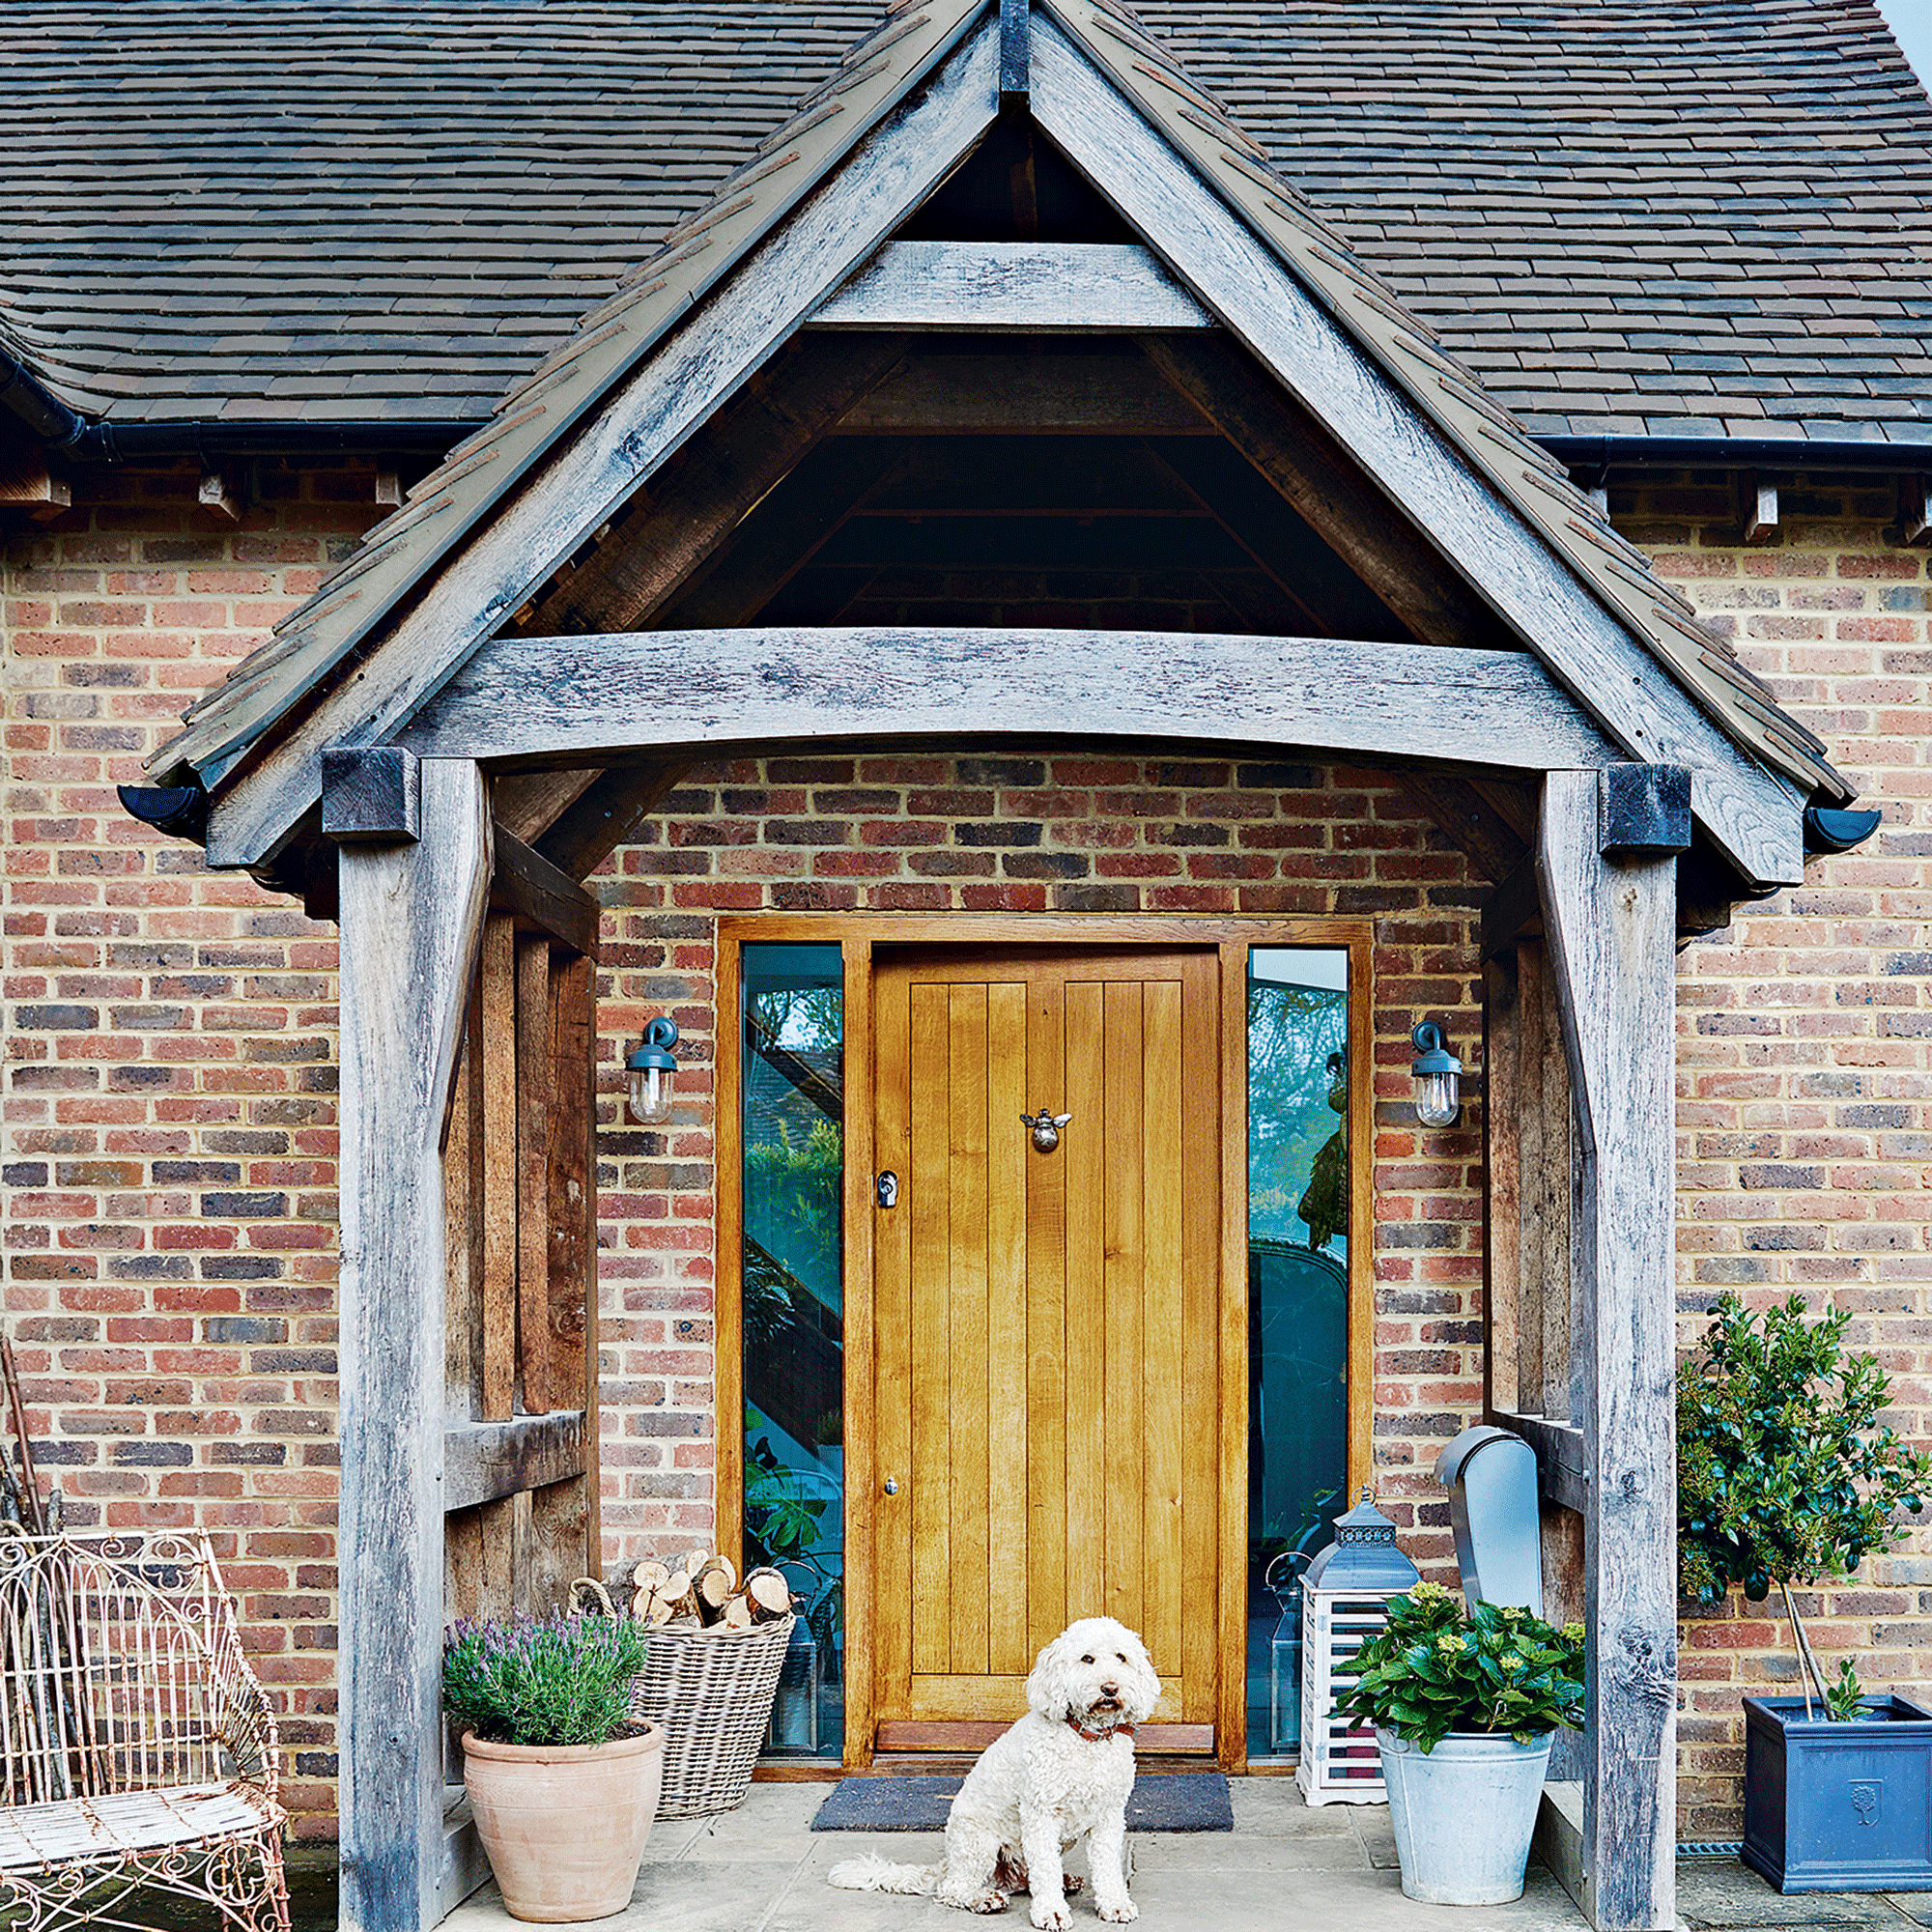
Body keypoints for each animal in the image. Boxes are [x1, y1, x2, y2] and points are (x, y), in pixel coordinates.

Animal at [823, 1623, 1151, 1924]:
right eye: (1087, 1658)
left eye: (1121, 1657)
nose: (1110, 1688)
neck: (1087, 1739)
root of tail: (948, 1863)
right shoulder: (1041, 1814)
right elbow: (1045, 1869)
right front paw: (1051, 1912)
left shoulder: (1109, 1817)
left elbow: (1107, 1867)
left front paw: (1114, 1904)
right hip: (979, 1844)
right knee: (953, 1888)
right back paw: (983, 1899)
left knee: (1023, 1880)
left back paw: (1063, 1881)